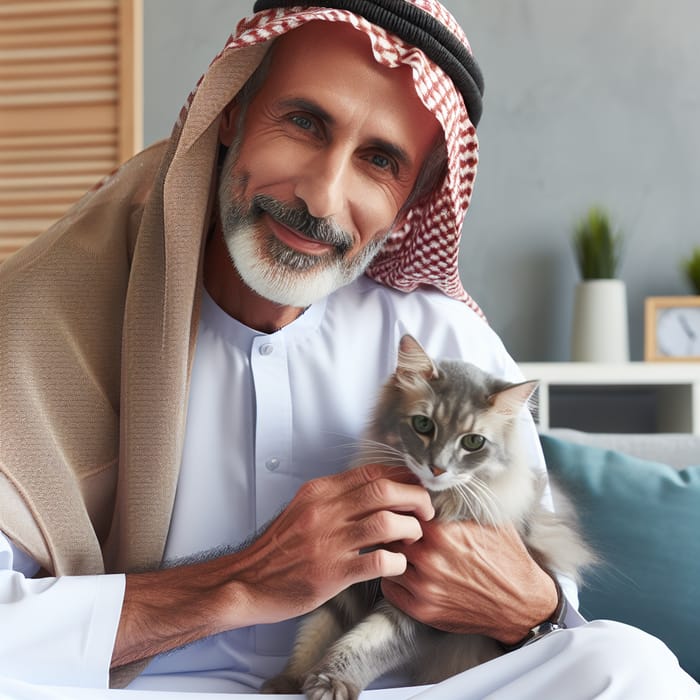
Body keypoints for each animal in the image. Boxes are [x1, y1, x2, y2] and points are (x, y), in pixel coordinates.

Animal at [262, 336, 596, 696]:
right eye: (423, 425)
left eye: (473, 442)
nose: (437, 468)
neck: (429, 503)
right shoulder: (352, 578)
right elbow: (313, 634)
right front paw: (286, 682)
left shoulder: (419, 610)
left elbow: (364, 645)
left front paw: (331, 682)